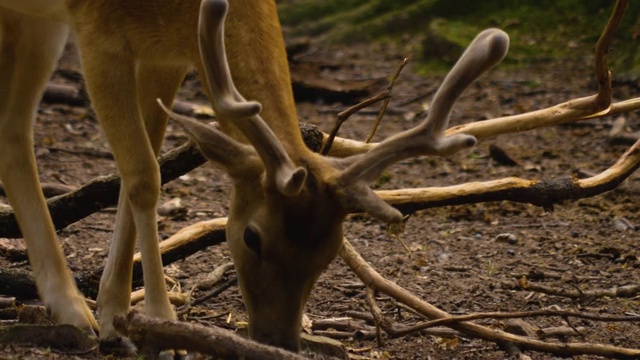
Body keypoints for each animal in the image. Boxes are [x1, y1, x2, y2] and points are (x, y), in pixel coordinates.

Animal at [0, 0, 510, 354]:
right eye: (252, 237)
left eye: (331, 250)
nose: (279, 343)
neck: (176, 16)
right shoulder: (98, 33)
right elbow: (145, 176)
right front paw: (160, 325)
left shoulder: (165, 56)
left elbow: (137, 174)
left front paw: (116, 317)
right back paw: (71, 307)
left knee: (13, 132)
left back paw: (68, 307)